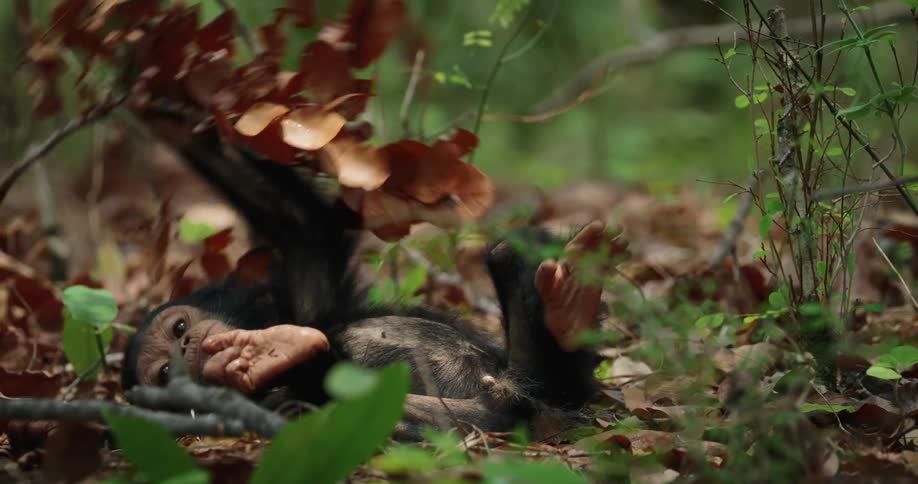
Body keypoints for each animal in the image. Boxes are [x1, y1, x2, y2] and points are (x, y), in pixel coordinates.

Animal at [120, 127, 615, 438]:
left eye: (179, 328)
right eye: (164, 375)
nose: (187, 348)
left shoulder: (310, 293)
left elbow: (301, 222)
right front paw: (268, 359)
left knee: (510, 268)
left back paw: (568, 300)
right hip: (513, 409)